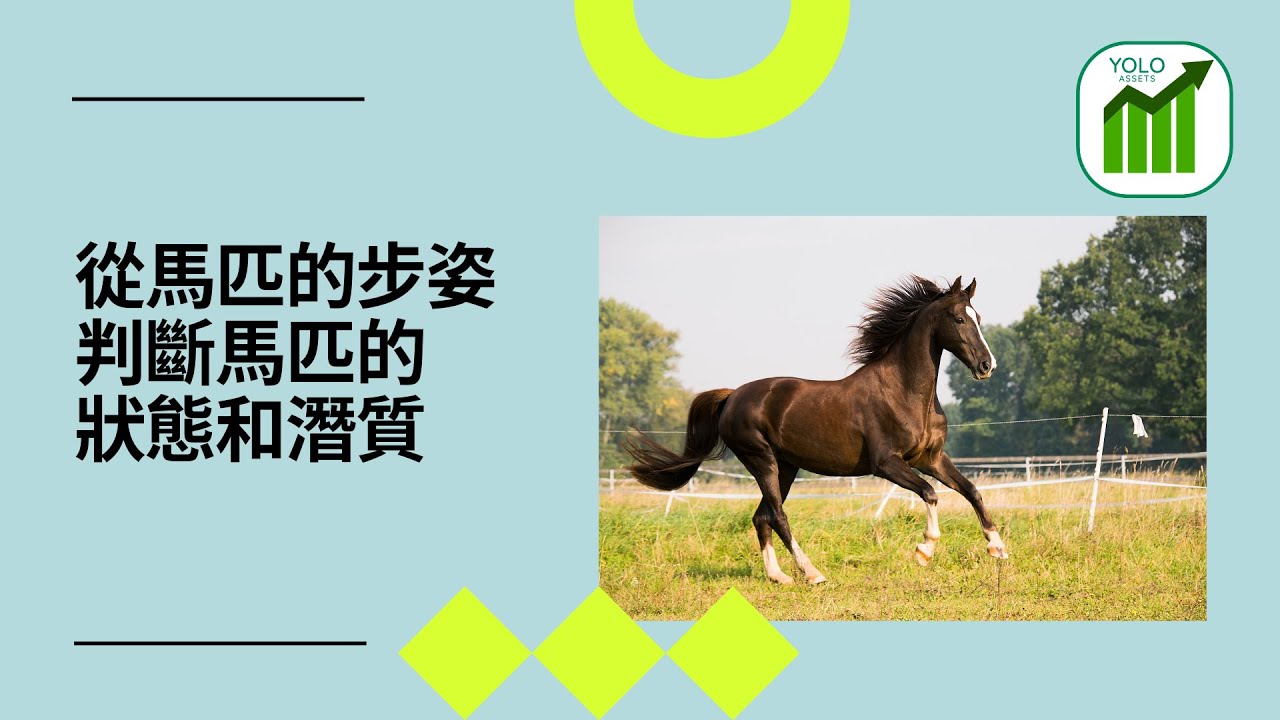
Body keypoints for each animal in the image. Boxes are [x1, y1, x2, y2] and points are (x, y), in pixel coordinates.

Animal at [624, 275, 1007, 584]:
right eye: (959, 318)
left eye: (978, 318)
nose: (986, 366)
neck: (905, 393)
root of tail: (732, 396)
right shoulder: (887, 464)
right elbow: (930, 493)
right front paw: (924, 550)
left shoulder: (931, 458)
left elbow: (972, 490)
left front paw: (998, 548)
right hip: (761, 460)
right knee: (777, 516)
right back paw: (812, 573)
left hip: (786, 467)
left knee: (761, 517)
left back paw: (779, 577)